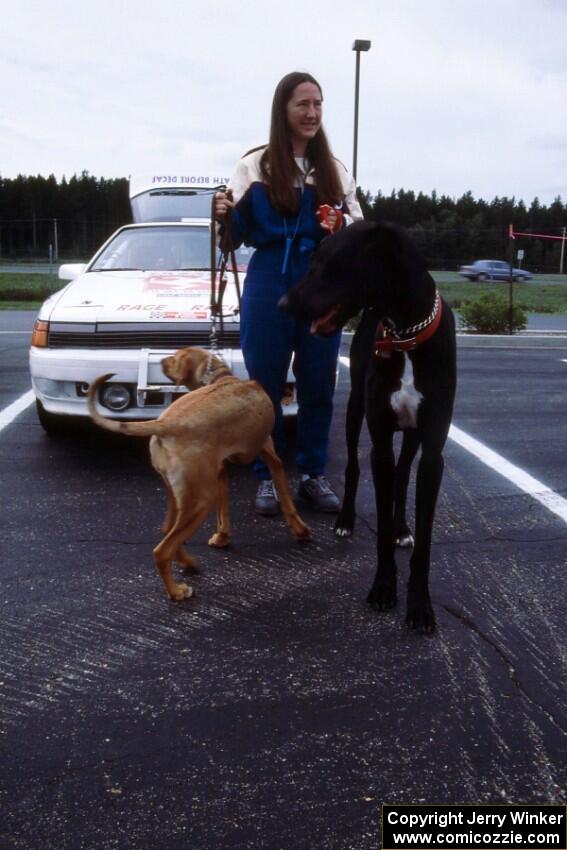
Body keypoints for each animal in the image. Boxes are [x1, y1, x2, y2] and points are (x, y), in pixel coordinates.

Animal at [86, 348, 312, 600]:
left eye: (175, 357)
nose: (161, 359)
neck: (221, 377)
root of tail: (165, 423)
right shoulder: (271, 456)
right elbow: (286, 498)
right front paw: (301, 530)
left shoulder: (220, 472)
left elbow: (223, 514)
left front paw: (222, 538)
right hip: (201, 500)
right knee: (162, 551)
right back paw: (176, 591)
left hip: (182, 494)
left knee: (167, 530)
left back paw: (188, 563)